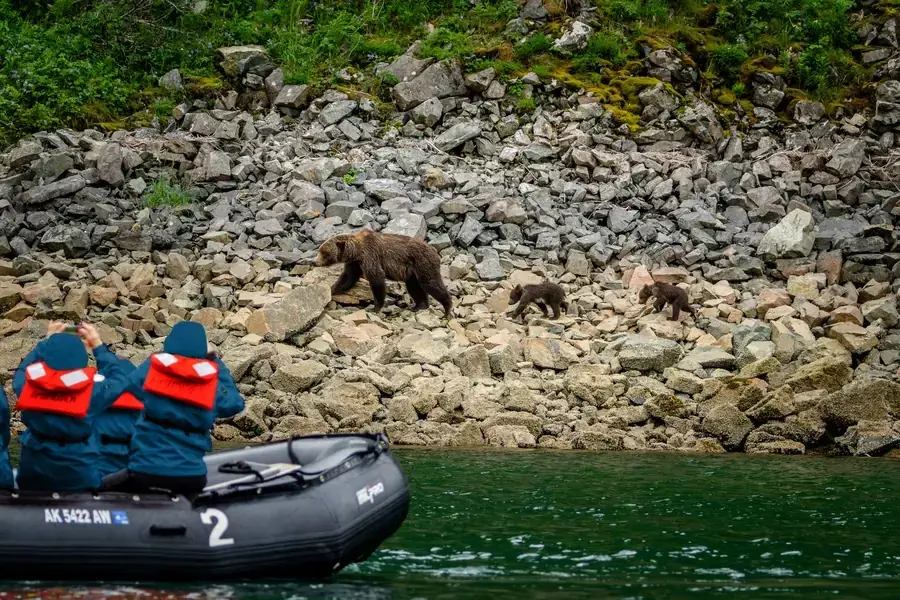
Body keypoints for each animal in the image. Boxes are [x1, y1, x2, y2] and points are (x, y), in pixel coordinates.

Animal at [316, 231, 453, 319]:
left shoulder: (370, 256)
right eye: (320, 250)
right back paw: (418, 306)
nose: (314, 261)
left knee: (431, 282)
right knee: (414, 287)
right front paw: (331, 290)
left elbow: (376, 279)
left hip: (423, 263)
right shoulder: (355, 263)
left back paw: (447, 308)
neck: (356, 251)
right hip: (412, 273)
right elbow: (348, 277)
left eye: (324, 253)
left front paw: (374, 307)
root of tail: (434, 250)